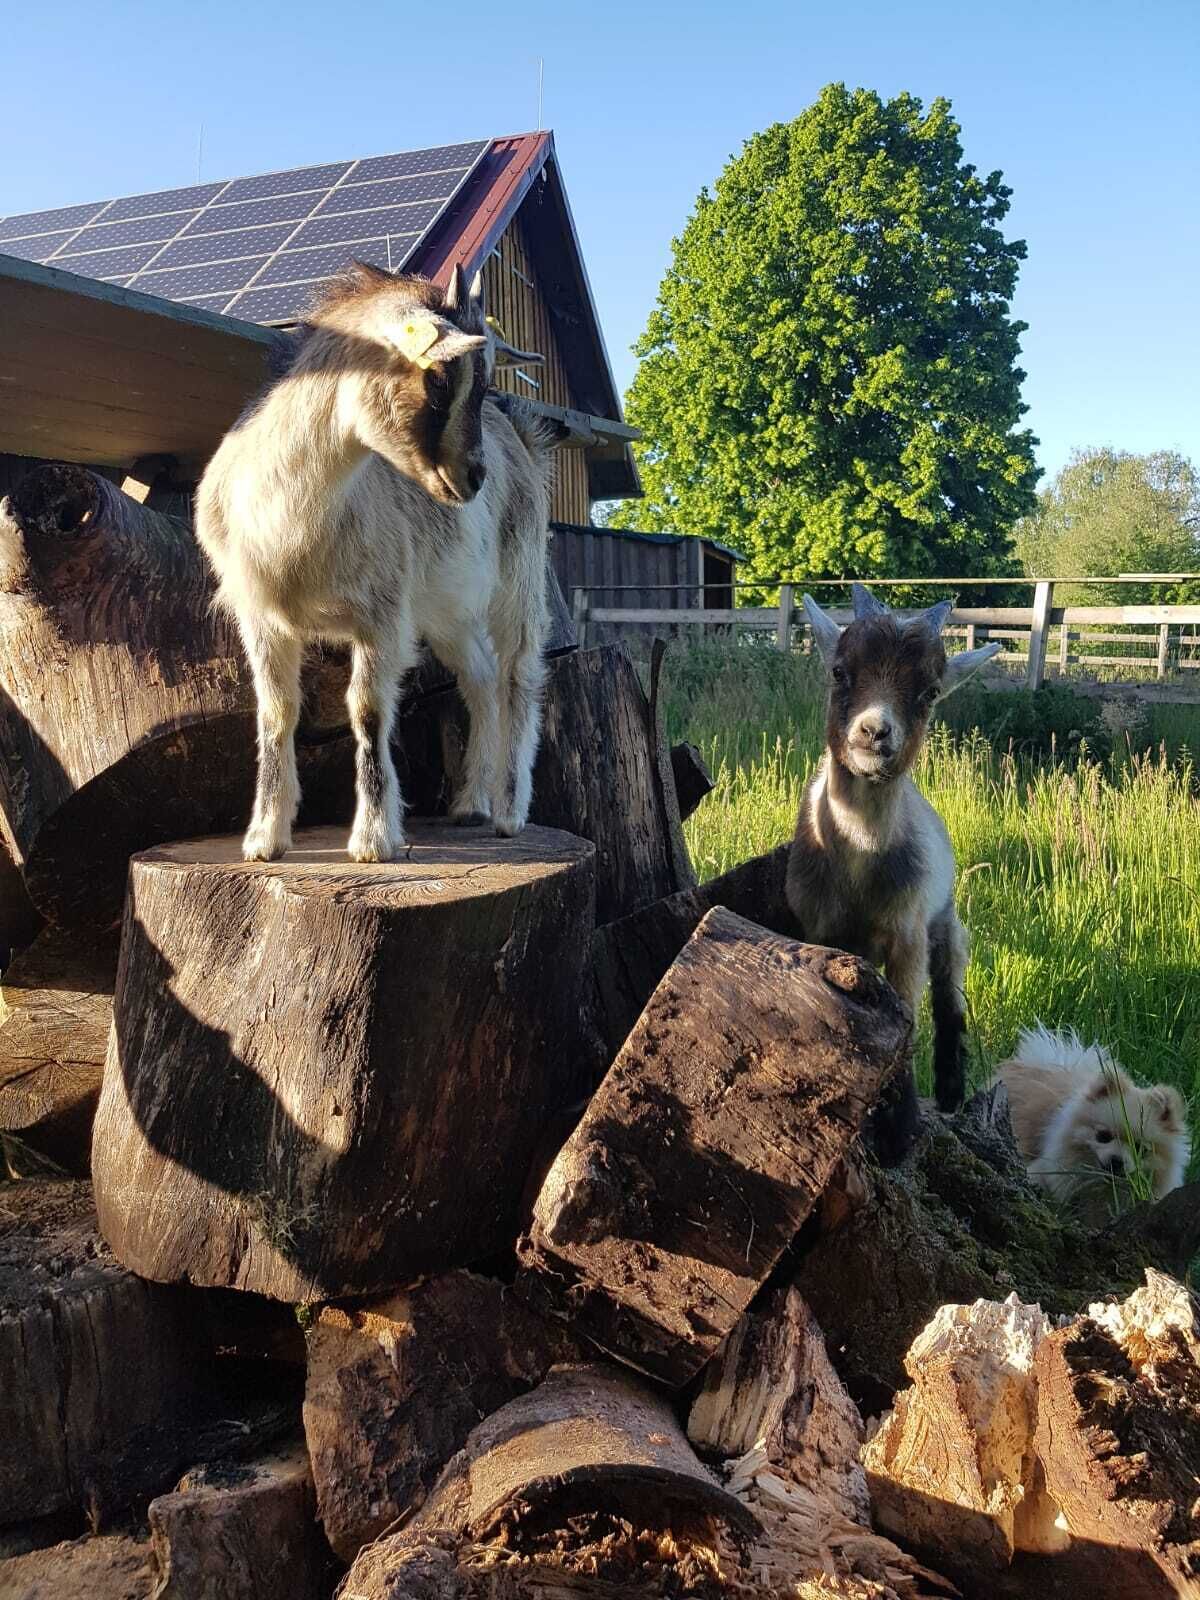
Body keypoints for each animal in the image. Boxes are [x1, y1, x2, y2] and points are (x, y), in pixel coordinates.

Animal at [195, 261, 551, 863]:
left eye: (485, 384)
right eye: (439, 379)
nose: (474, 477)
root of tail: (521, 439)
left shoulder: (381, 615)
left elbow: (366, 710)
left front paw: (374, 839)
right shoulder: (261, 616)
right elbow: (276, 712)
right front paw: (265, 837)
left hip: (519, 574)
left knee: (518, 674)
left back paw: (509, 811)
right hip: (442, 607)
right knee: (478, 675)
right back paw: (470, 803)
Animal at [785, 586, 999, 1133]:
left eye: (930, 692)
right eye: (840, 671)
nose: (874, 732)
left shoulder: (908, 937)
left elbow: (907, 1023)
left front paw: (897, 1120)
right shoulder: (821, 930)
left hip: (946, 926)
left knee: (949, 1002)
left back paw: (950, 1093)